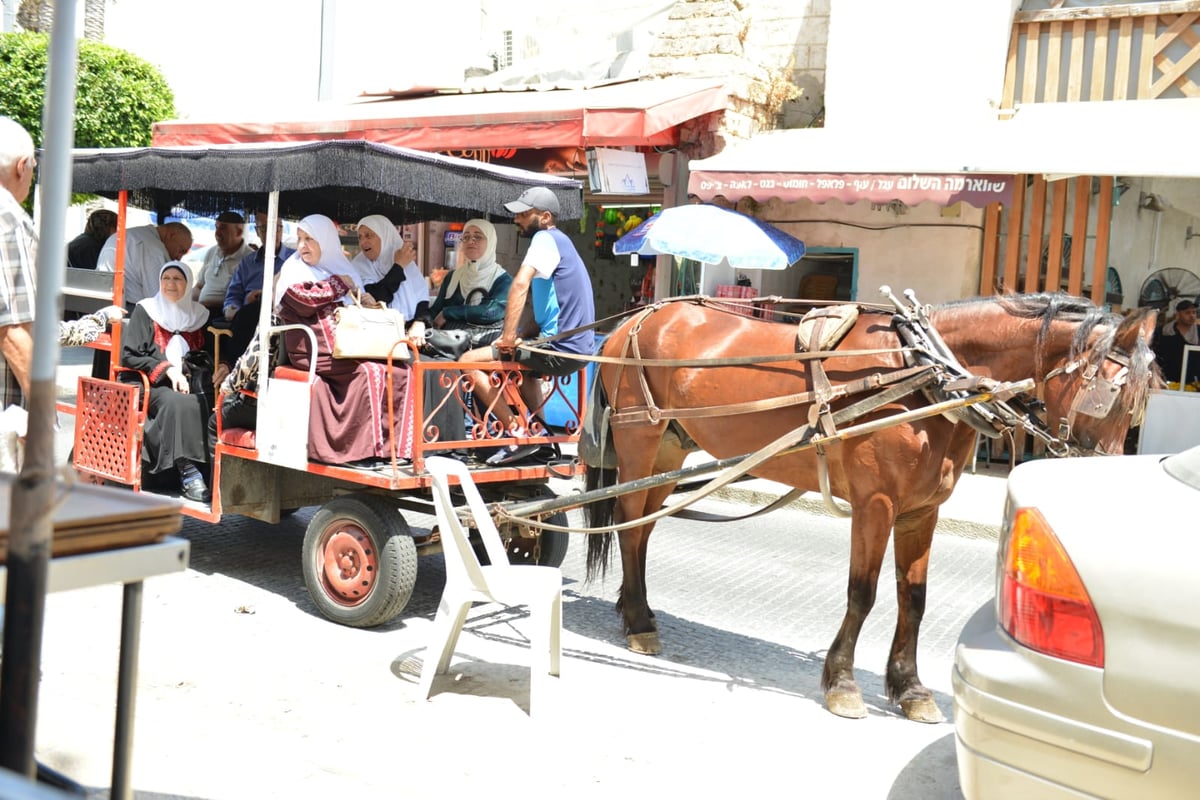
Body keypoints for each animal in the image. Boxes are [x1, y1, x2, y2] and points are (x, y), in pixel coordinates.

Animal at [585, 293, 1156, 724]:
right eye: (1112, 396)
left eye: (1140, 407)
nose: (1110, 485)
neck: (927, 378)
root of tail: (632, 321)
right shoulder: (875, 504)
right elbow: (863, 593)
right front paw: (842, 681)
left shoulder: (922, 511)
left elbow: (914, 599)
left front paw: (911, 688)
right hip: (639, 443)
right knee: (628, 526)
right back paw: (638, 623)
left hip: (670, 450)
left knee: (642, 528)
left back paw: (636, 609)